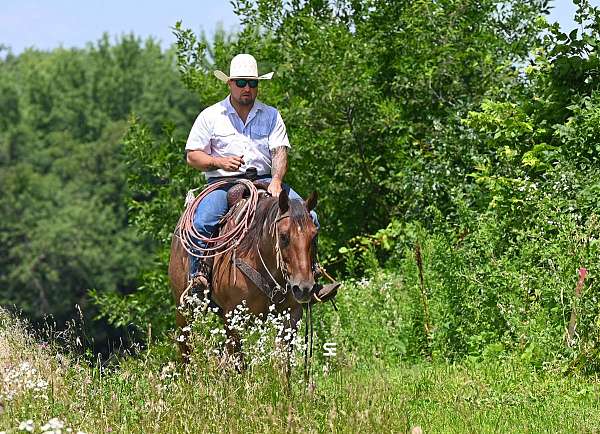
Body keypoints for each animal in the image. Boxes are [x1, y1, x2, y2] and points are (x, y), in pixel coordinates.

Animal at [169, 186, 318, 362]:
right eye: (283, 236)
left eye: (314, 236)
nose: (304, 288)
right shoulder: (233, 318)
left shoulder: (291, 317)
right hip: (184, 310)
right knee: (185, 349)